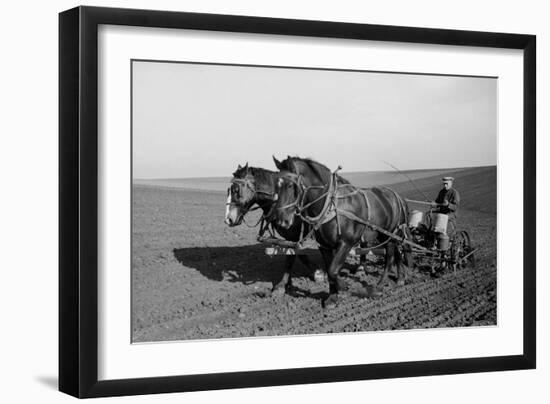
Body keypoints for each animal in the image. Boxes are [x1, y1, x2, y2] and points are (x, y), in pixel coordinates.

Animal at [224, 163, 320, 296]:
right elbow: (296, 255)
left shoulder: (294, 235)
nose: (228, 219)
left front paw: (318, 274)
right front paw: (285, 283)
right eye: (229, 190)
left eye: (236, 190)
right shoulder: (290, 237)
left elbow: (292, 257)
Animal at [274, 156, 412, 308]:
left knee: (390, 258)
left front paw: (344, 286)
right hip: (386, 235)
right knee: (397, 253)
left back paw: (379, 286)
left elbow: (333, 270)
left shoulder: (346, 243)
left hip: (390, 234)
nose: (281, 220)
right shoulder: (324, 246)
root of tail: (398, 197)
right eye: (276, 185)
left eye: (290, 186)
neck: (331, 205)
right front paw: (332, 297)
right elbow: (329, 271)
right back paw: (400, 278)